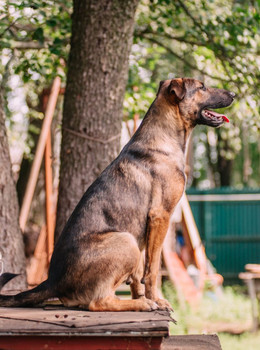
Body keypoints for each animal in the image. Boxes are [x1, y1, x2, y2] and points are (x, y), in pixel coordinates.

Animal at [0, 78, 236, 310]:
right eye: (202, 87)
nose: (234, 94)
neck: (164, 135)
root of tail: (52, 282)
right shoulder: (160, 217)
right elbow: (153, 270)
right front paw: (156, 300)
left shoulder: (146, 231)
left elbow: (139, 274)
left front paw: (142, 296)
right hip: (126, 240)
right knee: (97, 302)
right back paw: (141, 305)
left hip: (131, 241)